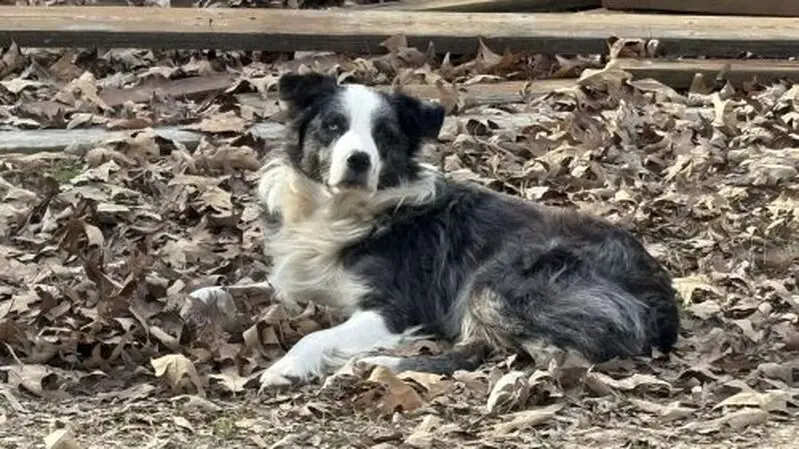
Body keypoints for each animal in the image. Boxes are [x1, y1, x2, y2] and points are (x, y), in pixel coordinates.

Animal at [190, 72, 680, 390]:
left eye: (384, 135)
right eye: (333, 126)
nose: (359, 160)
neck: (338, 212)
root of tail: (662, 298)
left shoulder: (394, 308)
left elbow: (315, 334)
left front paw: (286, 367)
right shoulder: (300, 282)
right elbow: (243, 286)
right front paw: (198, 298)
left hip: (496, 280)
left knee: (494, 352)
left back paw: (375, 363)